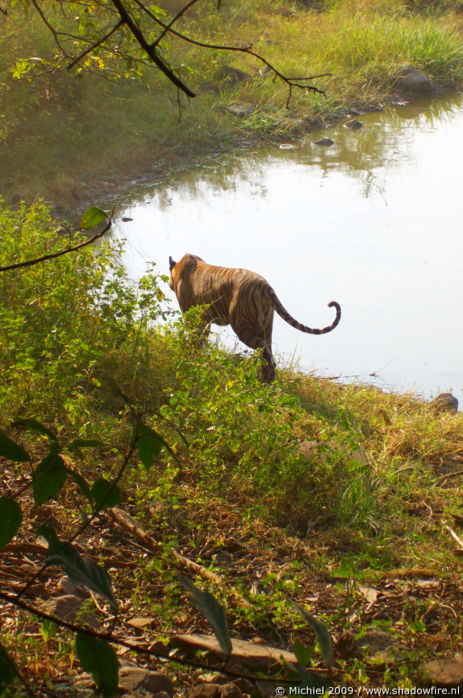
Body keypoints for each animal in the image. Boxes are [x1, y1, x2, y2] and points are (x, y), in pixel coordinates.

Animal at [169, 253, 340, 380]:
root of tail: (266, 287)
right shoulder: (205, 319)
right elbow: (202, 338)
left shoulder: (190, 314)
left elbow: (195, 337)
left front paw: (191, 355)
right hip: (266, 326)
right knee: (269, 353)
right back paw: (266, 381)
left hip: (243, 325)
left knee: (266, 354)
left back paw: (265, 383)